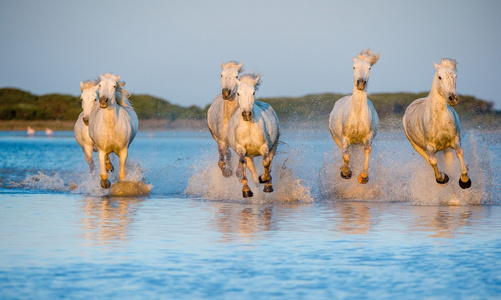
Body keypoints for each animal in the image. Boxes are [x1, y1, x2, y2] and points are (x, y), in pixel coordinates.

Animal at [328, 48, 378, 184]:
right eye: (354, 67)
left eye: (369, 68)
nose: (361, 83)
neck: (357, 115)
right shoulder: (345, 137)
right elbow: (346, 155)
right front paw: (346, 173)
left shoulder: (368, 137)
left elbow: (367, 151)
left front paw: (363, 177)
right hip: (337, 138)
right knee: (344, 151)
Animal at [400, 59, 470, 189]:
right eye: (440, 77)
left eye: (455, 76)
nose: (453, 98)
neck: (439, 118)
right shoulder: (430, 146)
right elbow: (433, 161)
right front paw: (442, 178)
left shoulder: (454, 140)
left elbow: (459, 152)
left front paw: (464, 180)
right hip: (416, 146)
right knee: (428, 160)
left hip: (446, 149)